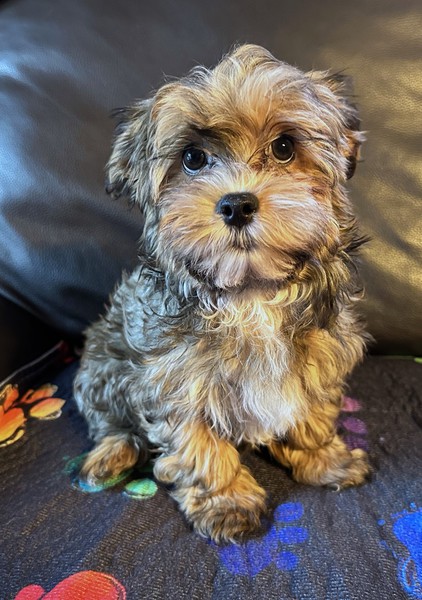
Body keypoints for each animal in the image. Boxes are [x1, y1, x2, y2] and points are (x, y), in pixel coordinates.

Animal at [74, 44, 371, 543]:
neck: (250, 295)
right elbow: (200, 446)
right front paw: (226, 500)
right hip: (103, 361)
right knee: (108, 420)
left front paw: (324, 458)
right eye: (192, 158)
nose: (237, 204)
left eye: (284, 148)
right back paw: (109, 456)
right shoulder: (174, 380)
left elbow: (311, 414)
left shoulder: (321, 352)